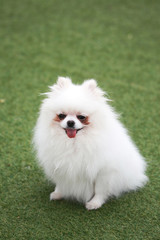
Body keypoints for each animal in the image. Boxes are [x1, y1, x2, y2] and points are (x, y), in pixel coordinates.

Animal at [33, 77, 148, 210]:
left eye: (81, 117)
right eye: (61, 116)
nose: (70, 122)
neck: (74, 142)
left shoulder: (103, 171)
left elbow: (100, 190)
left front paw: (95, 203)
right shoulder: (61, 167)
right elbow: (61, 183)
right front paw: (58, 193)